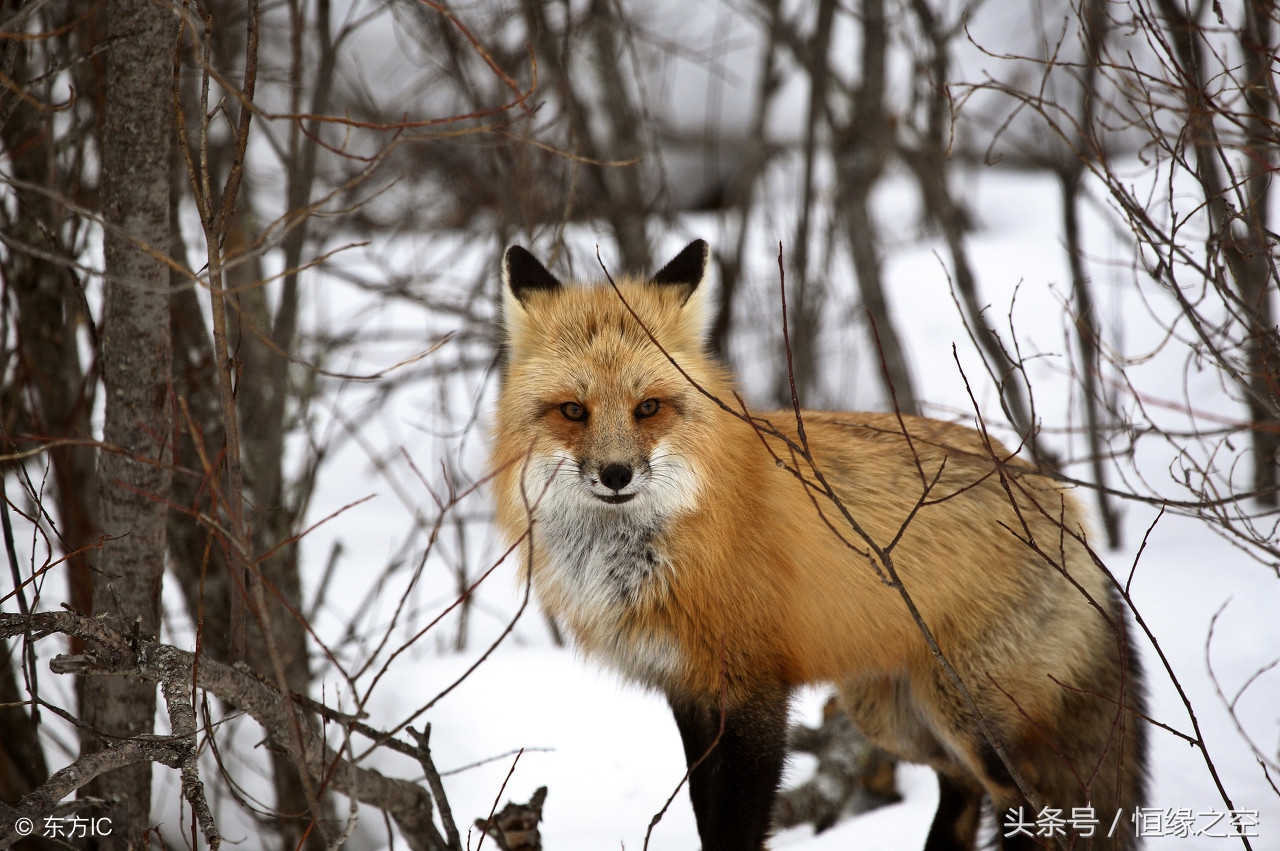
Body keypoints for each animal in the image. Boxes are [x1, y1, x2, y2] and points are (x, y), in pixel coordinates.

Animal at [488, 239, 1152, 849]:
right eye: (573, 411)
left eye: (648, 407)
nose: (616, 474)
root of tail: (1065, 505)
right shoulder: (690, 691)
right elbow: (705, 819)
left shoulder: (754, 692)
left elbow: (734, 830)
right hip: (892, 717)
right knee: (964, 792)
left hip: (973, 718)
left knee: (1024, 804)